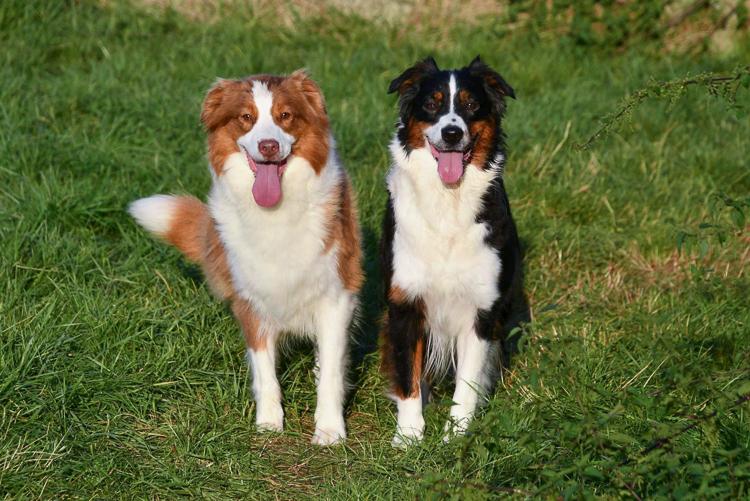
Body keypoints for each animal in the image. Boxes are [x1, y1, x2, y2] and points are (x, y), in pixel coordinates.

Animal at [129, 70, 362, 445]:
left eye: (285, 115)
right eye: (246, 117)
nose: (268, 146)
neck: (276, 211)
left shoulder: (337, 295)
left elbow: (330, 372)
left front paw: (329, 430)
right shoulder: (250, 299)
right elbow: (265, 370)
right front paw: (268, 423)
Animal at [380, 56, 527, 446]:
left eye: (471, 104)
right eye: (431, 104)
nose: (451, 133)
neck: (448, 199)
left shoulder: (481, 310)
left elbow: (468, 384)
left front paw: (456, 436)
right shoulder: (405, 302)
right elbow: (408, 376)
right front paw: (409, 437)